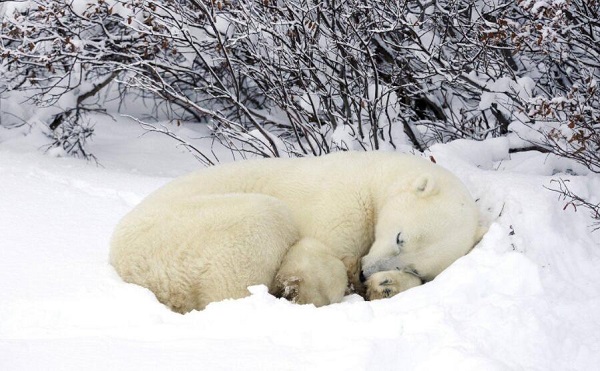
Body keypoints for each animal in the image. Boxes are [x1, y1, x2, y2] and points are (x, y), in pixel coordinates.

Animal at [109, 152, 482, 314]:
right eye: (400, 236)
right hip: (183, 234)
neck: (376, 176)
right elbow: (316, 251)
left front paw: (386, 286)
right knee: (262, 223)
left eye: (414, 266)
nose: (366, 272)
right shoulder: (341, 202)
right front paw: (307, 288)